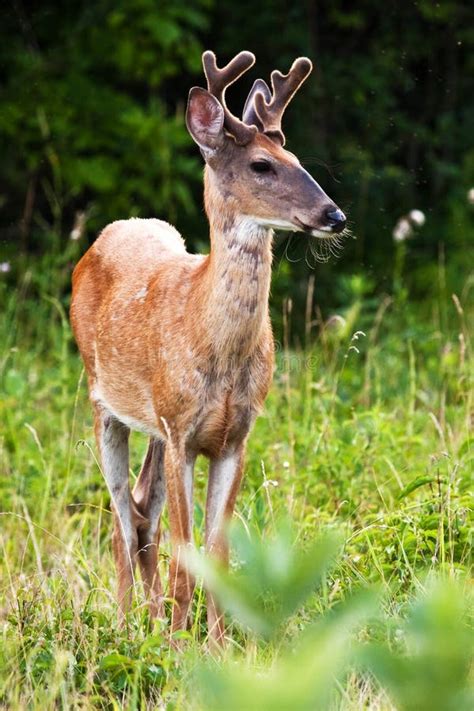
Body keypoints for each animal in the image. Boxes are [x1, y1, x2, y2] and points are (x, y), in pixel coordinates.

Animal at [69, 47, 344, 644]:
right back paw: (125, 626)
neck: (214, 345)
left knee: (141, 509)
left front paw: (216, 646)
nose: (334, 215)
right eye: (262, 165)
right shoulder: (180, 431)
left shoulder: (235, 435)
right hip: (105, 403)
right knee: (122, 516)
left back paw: (149, 621)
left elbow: (216, 553)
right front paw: (178, 647)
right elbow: (185, 553)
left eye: (295, 157)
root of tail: (108, 233)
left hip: (150, 424)